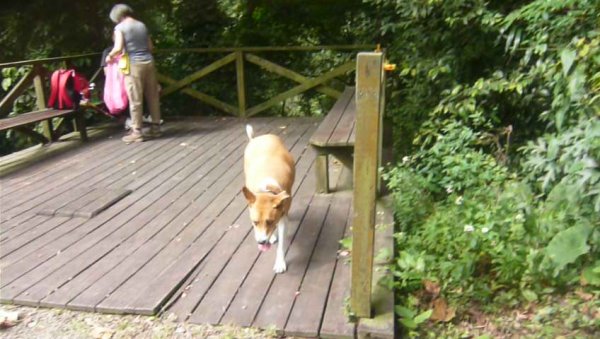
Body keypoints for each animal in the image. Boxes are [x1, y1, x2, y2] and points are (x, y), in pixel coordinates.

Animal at [240, 125, 294, 274]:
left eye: (270, 221)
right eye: (254, 222)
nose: (261, 242)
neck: (266, 190)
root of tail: (258, 138)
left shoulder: (282, 217)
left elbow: (281, 245)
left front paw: (280, 263)